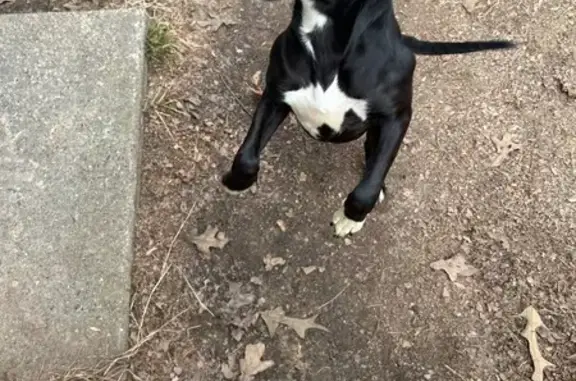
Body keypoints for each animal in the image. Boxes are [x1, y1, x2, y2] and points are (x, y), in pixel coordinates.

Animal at [223, 0, 516, 236]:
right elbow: (246, 157)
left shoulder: (396, 117)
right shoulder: (275, 95)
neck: (326, 38)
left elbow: (366, 191)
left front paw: (351, 218)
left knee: (373, 160)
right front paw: (234, 182)